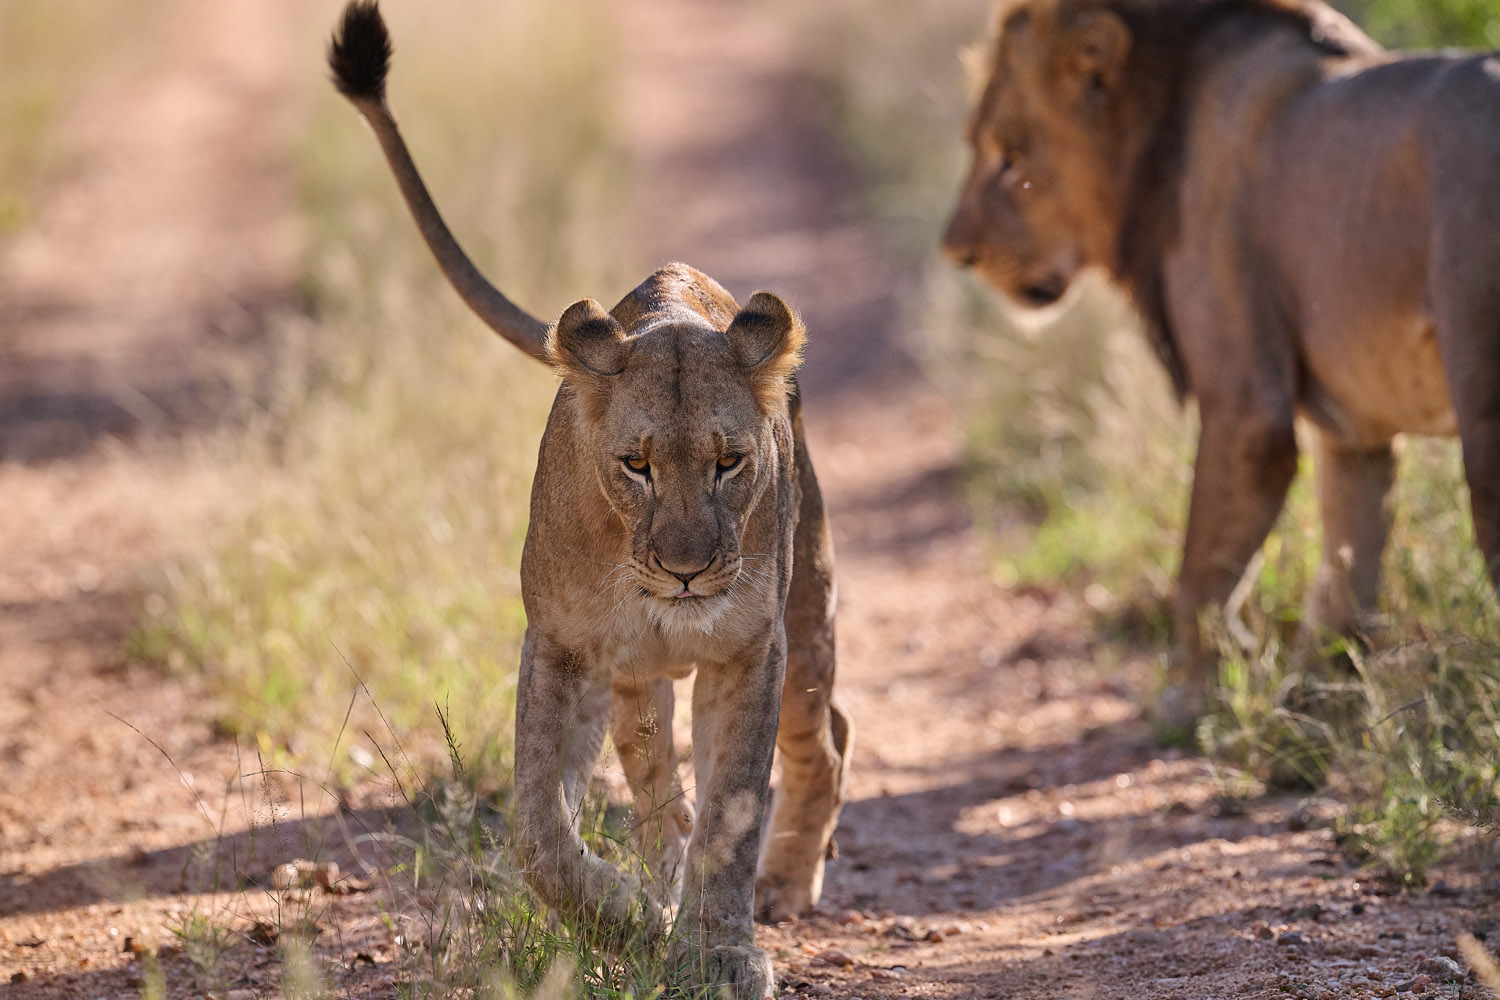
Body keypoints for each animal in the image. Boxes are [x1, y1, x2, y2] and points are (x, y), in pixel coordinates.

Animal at [328, 4, 852, 996]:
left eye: (730, 463)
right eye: (635, 465)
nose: (686, 575)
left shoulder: (749, 650)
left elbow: (732, 812)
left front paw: (719, 950)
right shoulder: (563, 646)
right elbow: (542, 832)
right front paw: (630, 921)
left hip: (808, 611)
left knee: (825, 734)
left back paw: (784, 883)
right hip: (634, 682)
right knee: (656, 789)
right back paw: (657, 883)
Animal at [944, 0, 1500, 706]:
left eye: (1010, 156)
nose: (955, 251)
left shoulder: (1245, 406)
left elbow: (1202, 571)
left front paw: (1193, 698)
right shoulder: (1355, 433)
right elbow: (1346, 570)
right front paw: (1317, 690)